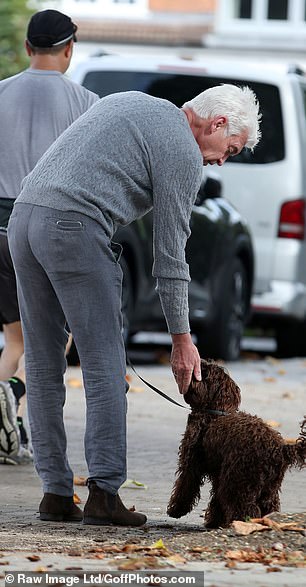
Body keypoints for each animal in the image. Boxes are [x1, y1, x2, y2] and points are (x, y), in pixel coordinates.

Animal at [167, 358, 306, 528]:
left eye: (205, 373)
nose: (200, 362)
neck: (215, 411)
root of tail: (279, 449)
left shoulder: (191, 465)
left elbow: (185, 488)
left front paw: (175, 510)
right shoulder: (219, 474)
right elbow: (217, 501)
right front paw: (215, 521)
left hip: (238, 482)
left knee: (246, 509)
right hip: (268, 487)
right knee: (268, 506)